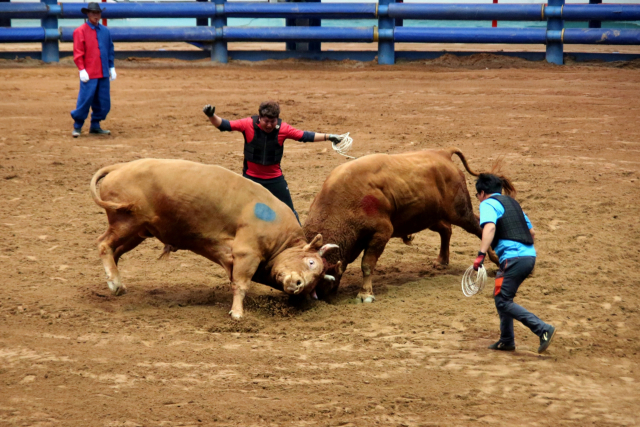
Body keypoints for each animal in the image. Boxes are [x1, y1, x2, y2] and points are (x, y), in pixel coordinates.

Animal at [93, 159, 340, 320]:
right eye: (310, 262)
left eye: (315, 283)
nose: (298, 285)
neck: (281, 240)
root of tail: (120, 167)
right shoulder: (247, 253)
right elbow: (240, 284)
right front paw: (237, 313)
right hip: (126, 222)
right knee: (104, 244)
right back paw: (114, 283)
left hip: (138, 231)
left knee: (115, 251)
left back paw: (115, 282)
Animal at [304, 147, 500, 304]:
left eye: (318, 278)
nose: (317, 298)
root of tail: (443, 153)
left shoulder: (381, 233)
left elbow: (367, 264)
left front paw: (365, 294)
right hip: (429, 217)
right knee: (446, 229)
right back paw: (442, 261)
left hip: (459, 213)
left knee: (479, 227)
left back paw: (496, 259)